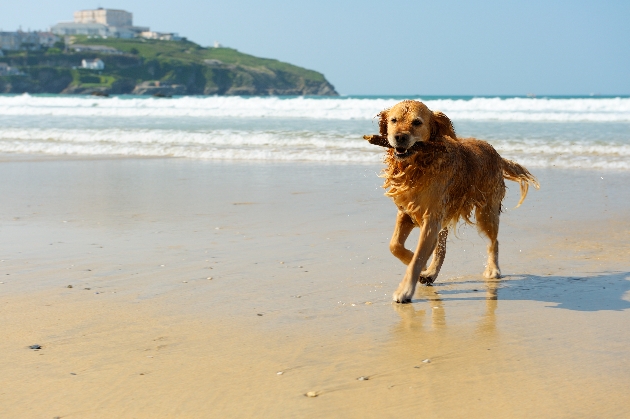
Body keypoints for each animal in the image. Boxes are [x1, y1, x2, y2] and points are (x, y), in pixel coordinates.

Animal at [362, 100, 540, 304]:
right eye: (393, 120)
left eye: (417, 122)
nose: (399, 137)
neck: (418, 165)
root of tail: (495, 152)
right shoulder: (407, 212)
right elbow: (395, 246)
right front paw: (423, 270)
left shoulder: (431, 217)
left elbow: (417, 258)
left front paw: (405, 290)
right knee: (442, 249)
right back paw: (430, 272)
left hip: (486, 212)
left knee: (493, 241)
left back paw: (493, 270)